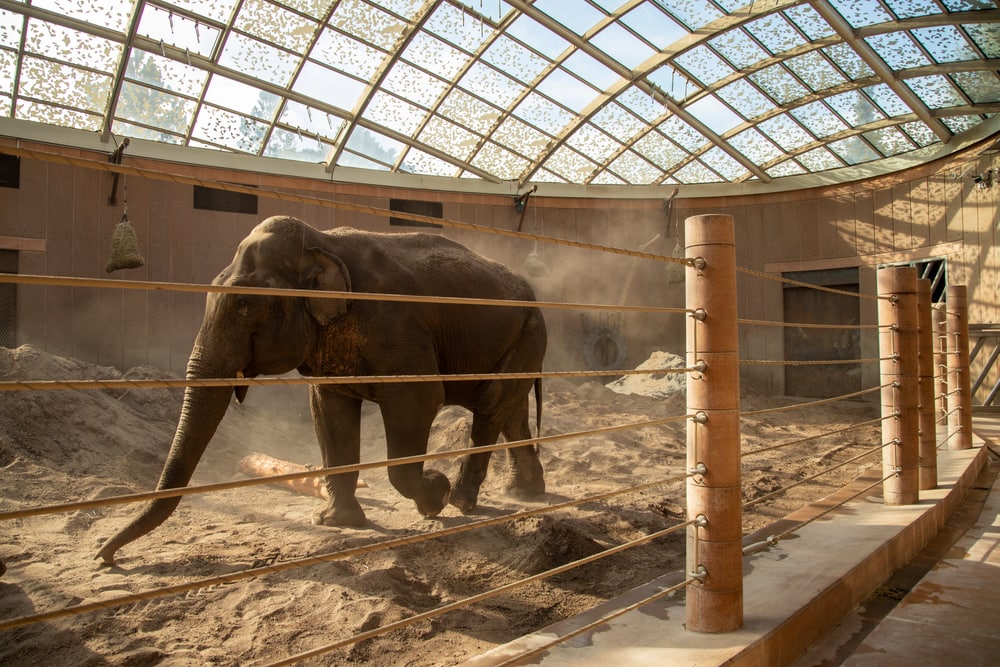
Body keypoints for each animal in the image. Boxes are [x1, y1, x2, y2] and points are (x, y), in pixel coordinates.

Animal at [96, 215, 547, 564]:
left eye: (244, 303)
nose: (105, 556)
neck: (322, 242)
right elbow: (329, 411)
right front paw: (337, 522)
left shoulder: (399, 329)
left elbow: (420, 400)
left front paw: (434, 495)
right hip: (519, 341)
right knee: (510, 411)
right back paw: (523, 492)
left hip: (528, 331)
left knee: (491, 406)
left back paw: (463, 501)